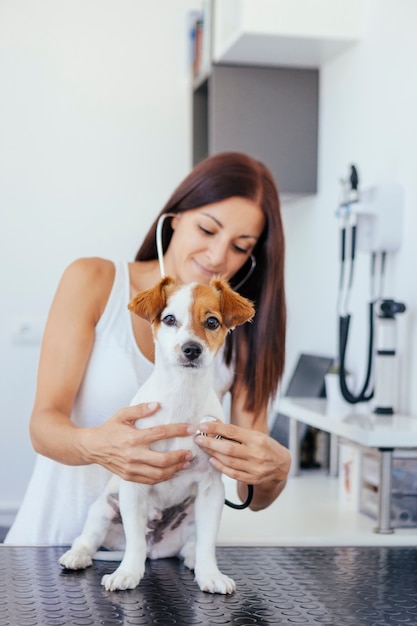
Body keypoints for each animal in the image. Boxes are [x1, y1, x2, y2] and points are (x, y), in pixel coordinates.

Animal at [58, 276, 254, 592]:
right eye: (169, 319)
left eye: (212, 322)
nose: (191, 349)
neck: (182, 396)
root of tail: (156, 548)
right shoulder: (133, 480)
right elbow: (135, 542)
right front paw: (127, 572)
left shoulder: (211, 490)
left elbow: (208, 544)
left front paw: (210, 574)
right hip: (102, 509)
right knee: (90, 538)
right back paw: (78, 555)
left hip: (191, 515)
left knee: (192, 544)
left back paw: (191, 558)